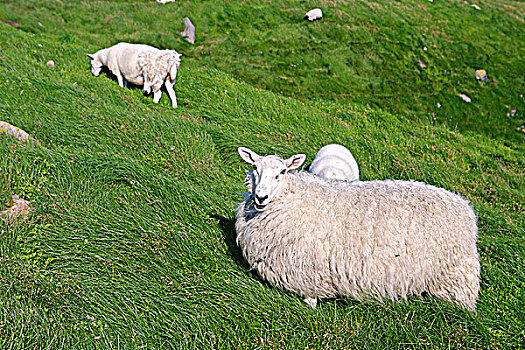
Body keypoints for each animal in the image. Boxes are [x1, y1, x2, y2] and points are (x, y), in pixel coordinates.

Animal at [235, 146, 482, 310]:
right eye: (254, 167)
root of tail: (465, 207)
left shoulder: (308, 271)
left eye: (283, 172)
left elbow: (310, 298)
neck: (291, 197)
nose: (261, 197)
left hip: (454, 276)